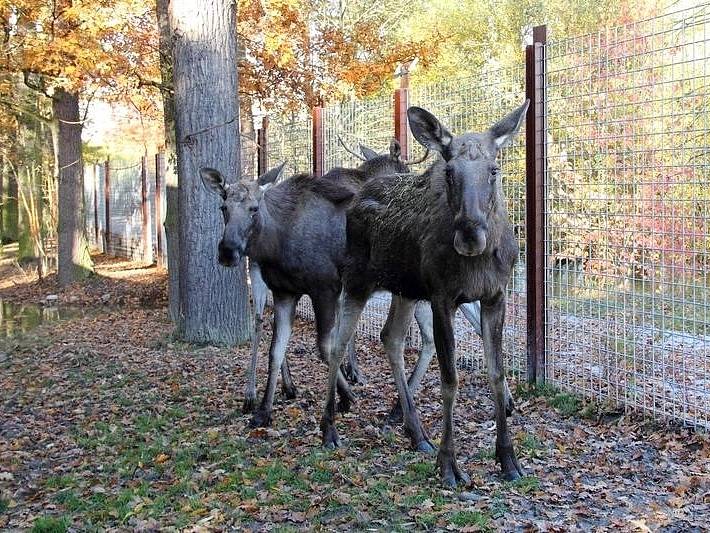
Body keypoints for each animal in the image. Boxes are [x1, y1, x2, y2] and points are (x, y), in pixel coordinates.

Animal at [320, 101, 532, 486]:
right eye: (449, 171)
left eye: (494, 170)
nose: (470, 234)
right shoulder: (442, 298)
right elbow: (450, 379)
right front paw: (449, 465)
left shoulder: (495, 296)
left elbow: (497, 374)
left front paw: (508, 459)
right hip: (357, 281)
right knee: (338, 343)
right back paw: (328, 427)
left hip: (404, 289)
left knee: (391, 337)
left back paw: (416, 433)